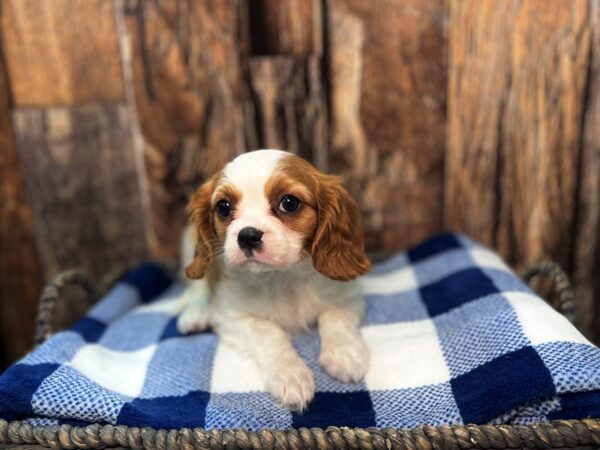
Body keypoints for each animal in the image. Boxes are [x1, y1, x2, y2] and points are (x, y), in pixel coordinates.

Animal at [176, 150, 370, 412]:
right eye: (224, 207)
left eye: (289, 203)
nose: (247, 235)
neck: (281, 276)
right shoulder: (232, 315)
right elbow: (268, 332)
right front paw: (291, 375)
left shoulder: (345, 296)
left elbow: (335, 318)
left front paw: (345, 354)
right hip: (190, 244)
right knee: (198, 286)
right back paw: (195, 313)